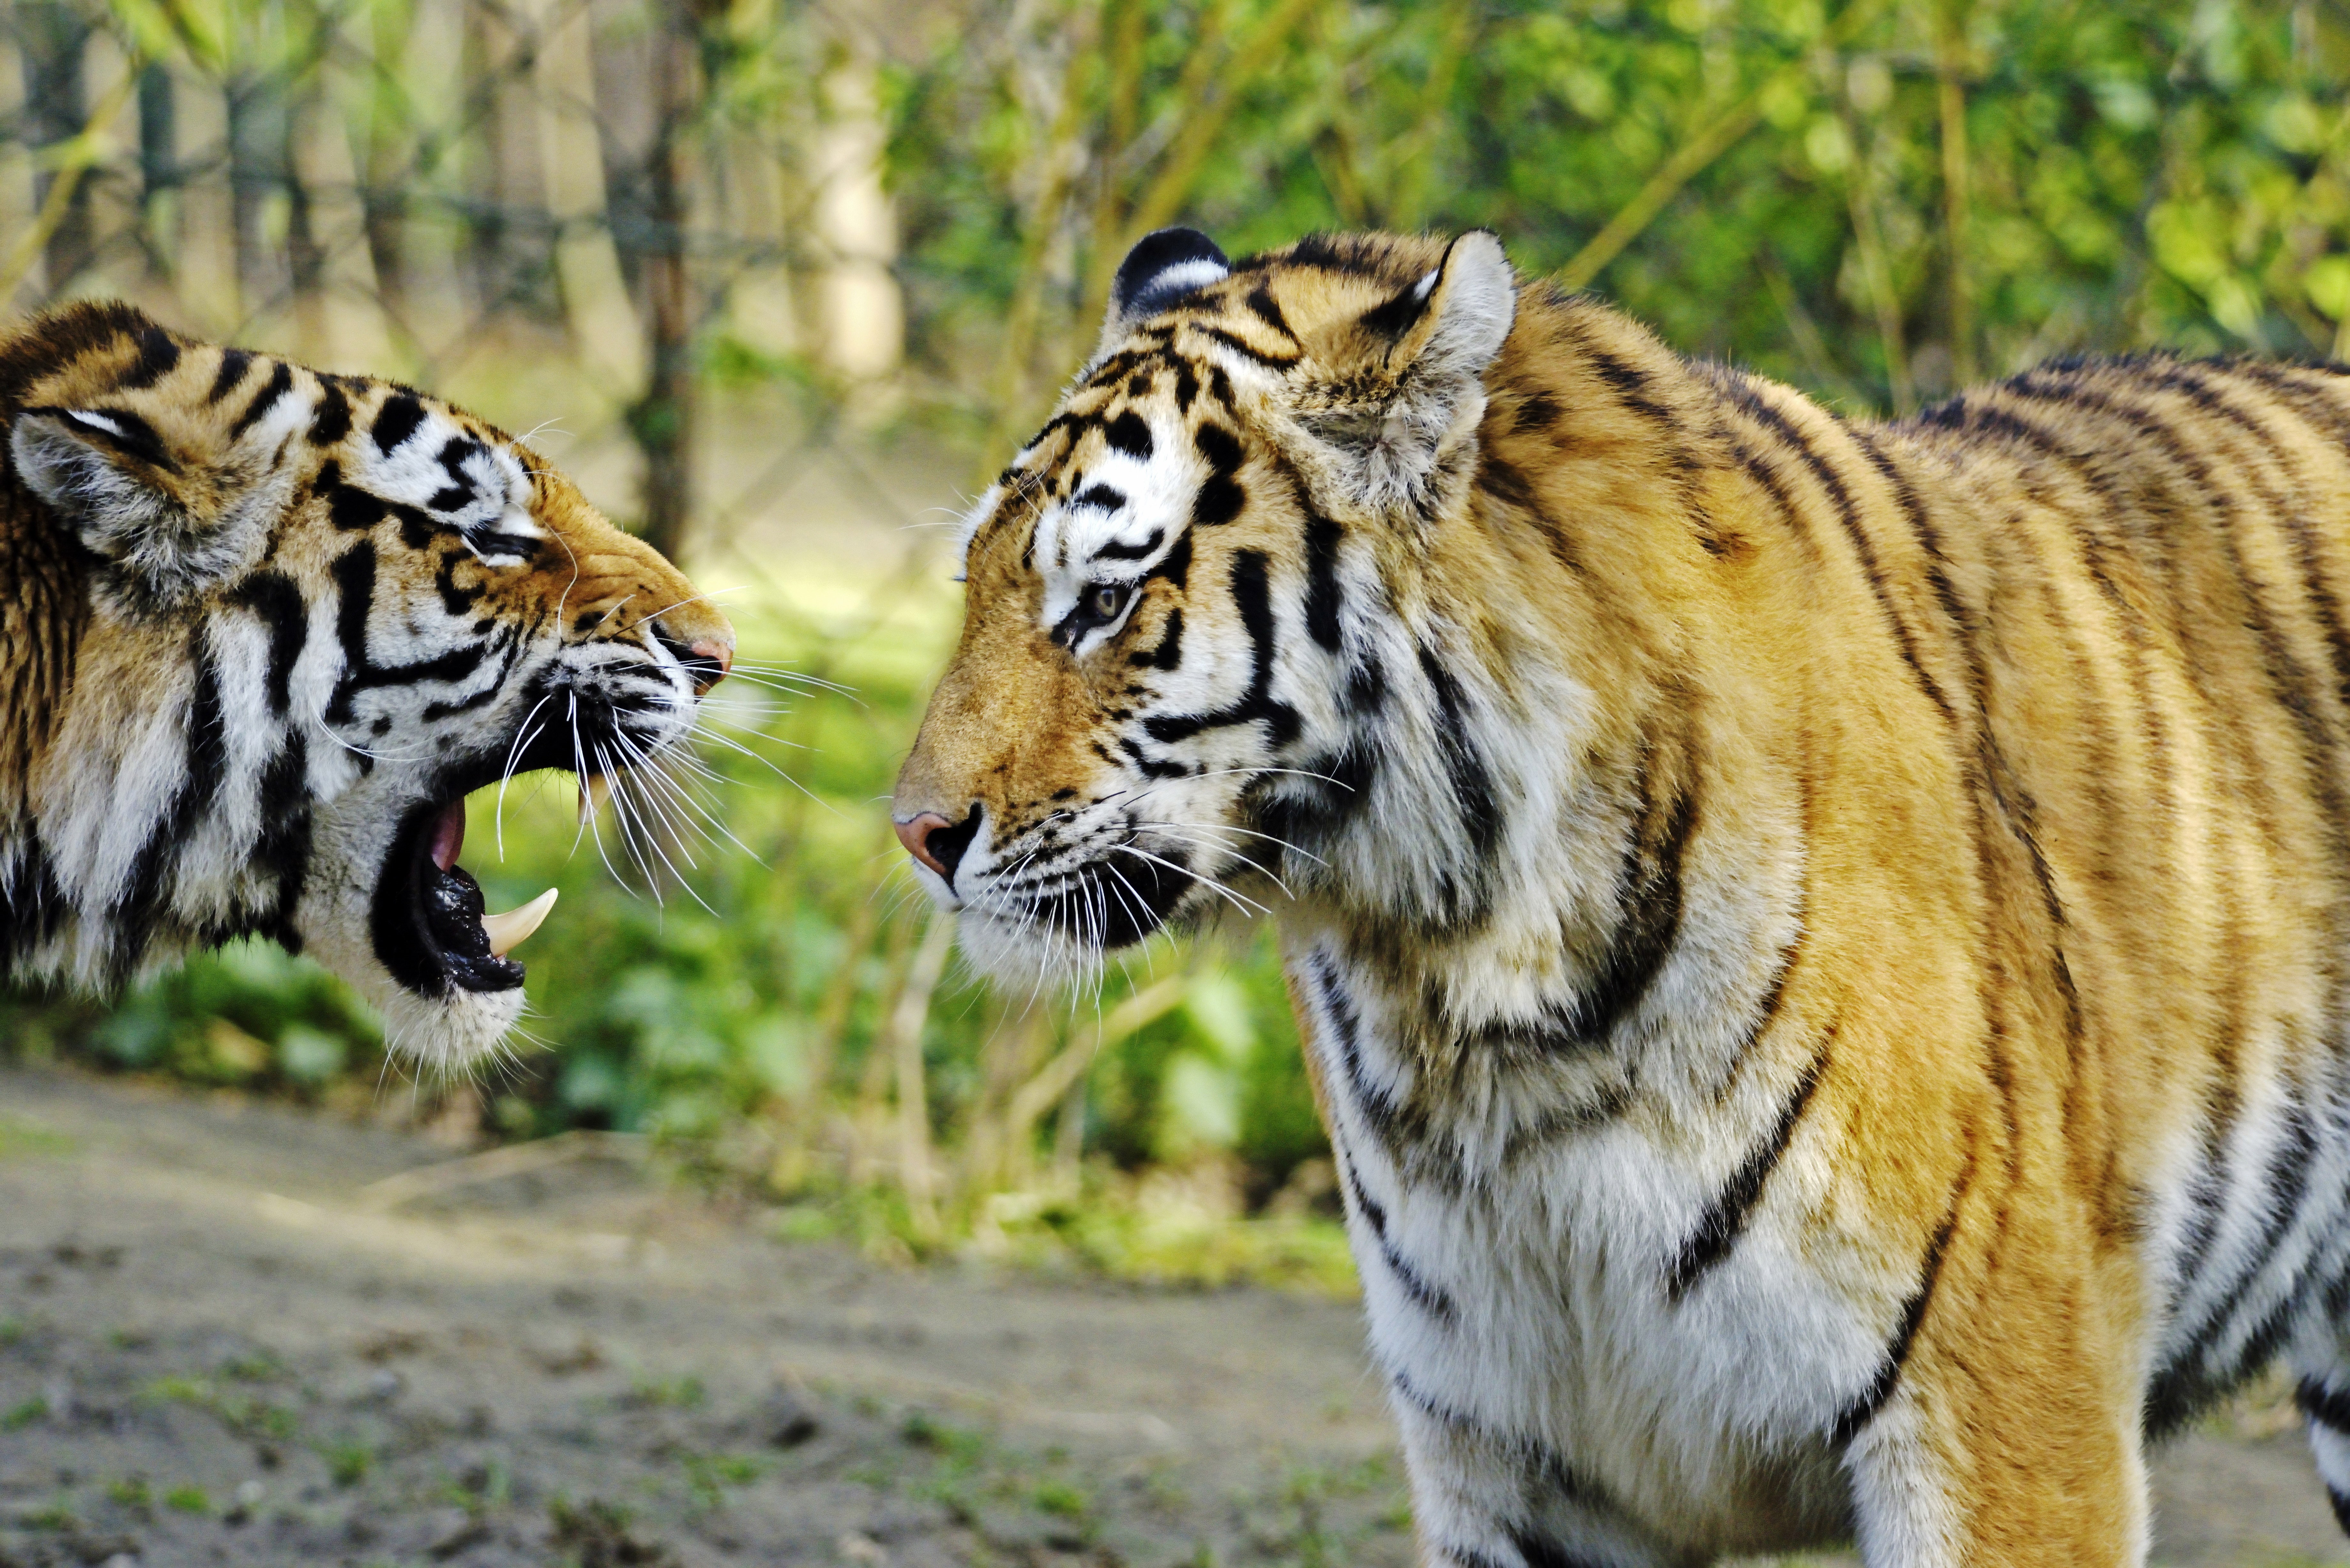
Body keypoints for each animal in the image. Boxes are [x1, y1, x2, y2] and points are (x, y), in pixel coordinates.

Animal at [892, 224, 2350, 1564]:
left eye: (1104, 601)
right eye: (972, 580)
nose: (914, 832)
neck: (1480, 1003)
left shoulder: (2004, 1409)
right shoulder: (1517, 1450)